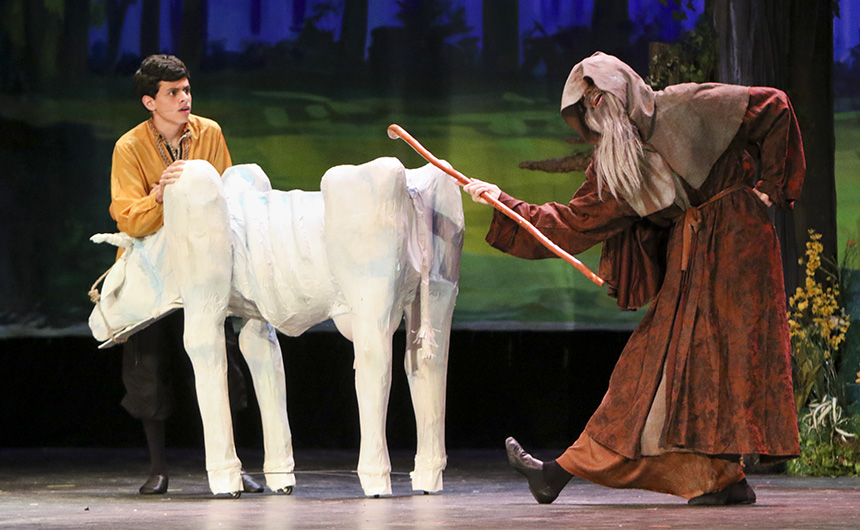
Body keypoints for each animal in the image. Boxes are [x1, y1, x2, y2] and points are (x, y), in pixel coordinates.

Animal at [88, 157, 464, 497]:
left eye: (118, 278)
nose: (92, 321)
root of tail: (411, 187)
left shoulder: (204, 302)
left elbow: (205, 355)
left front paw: (226, 478)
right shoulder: (257, 318)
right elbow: (264, 364)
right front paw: (280, 477)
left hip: (372, 298)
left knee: (376, 365)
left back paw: (375, 479)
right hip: (439, 292)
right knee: (431, 367)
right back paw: (428, 477)